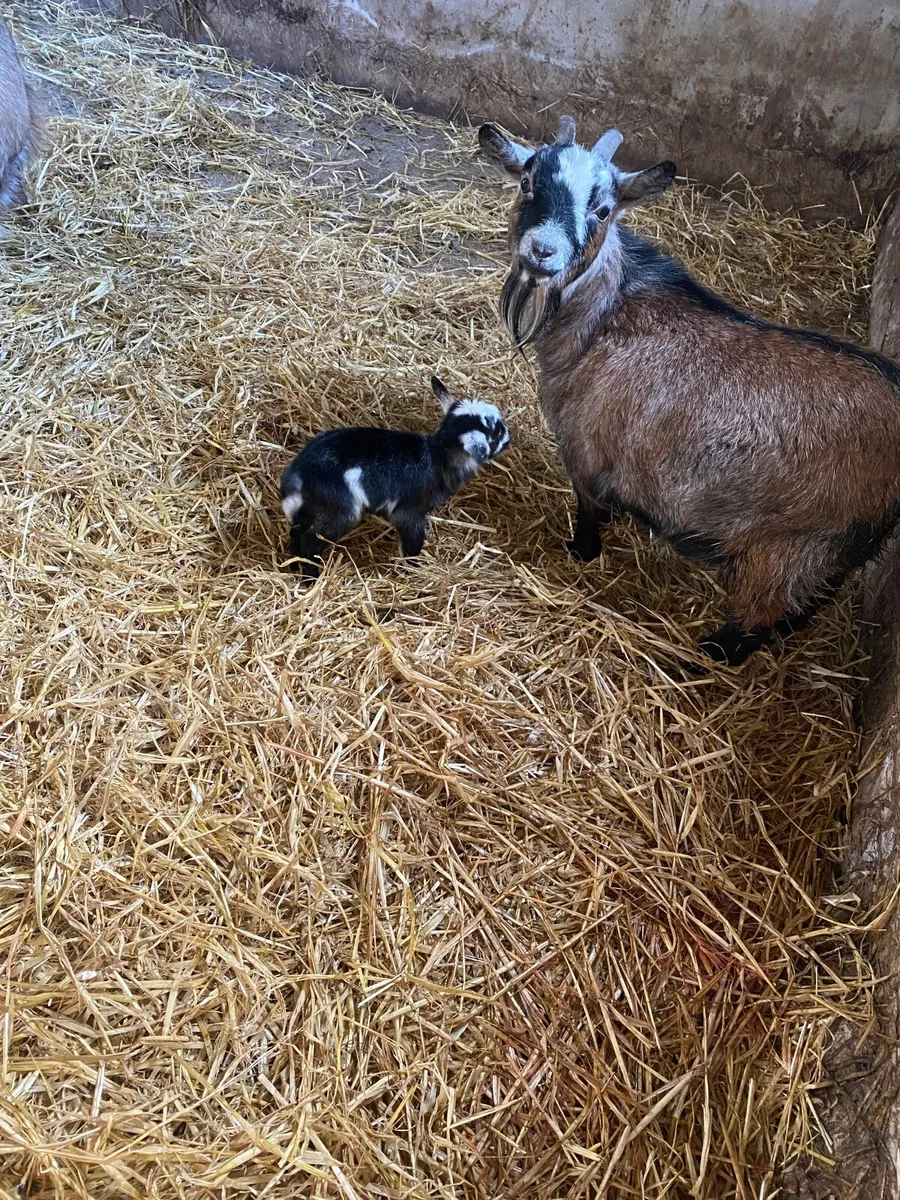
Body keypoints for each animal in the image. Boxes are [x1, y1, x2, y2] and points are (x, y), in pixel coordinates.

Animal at [280, 377, 510, 578]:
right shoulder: (410, 510)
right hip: (340, 509)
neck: (438, 457)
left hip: (310, 507)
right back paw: (310, 578)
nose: (509, 435)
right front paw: (413, 568)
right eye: (496, 432)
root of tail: (300, 473)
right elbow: (412, 540)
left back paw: (293, 565)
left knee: (297, 531)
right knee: (311, 540)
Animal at [478, 113, 900, 666]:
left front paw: (581, 552)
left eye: (602, 208)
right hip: (837, 553)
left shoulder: (584, 444)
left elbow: (589, 510)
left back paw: (711, 652)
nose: (542, 251)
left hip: (797, 548)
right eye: (527, 182)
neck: (604, 315)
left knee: (761, 616)